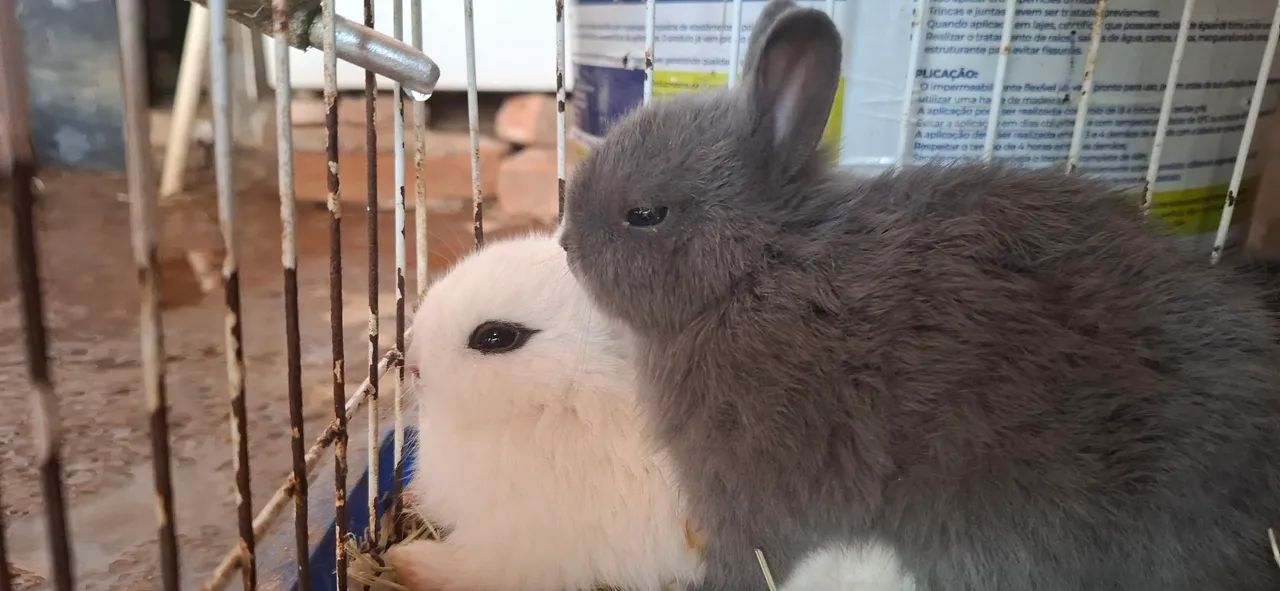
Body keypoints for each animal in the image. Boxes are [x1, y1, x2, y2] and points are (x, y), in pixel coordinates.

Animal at [384, 232, 704, 591]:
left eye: (495, 336)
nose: (413, 365)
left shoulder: (525, 550)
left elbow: (473, 572)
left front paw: (404, 561)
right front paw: (408, 499)